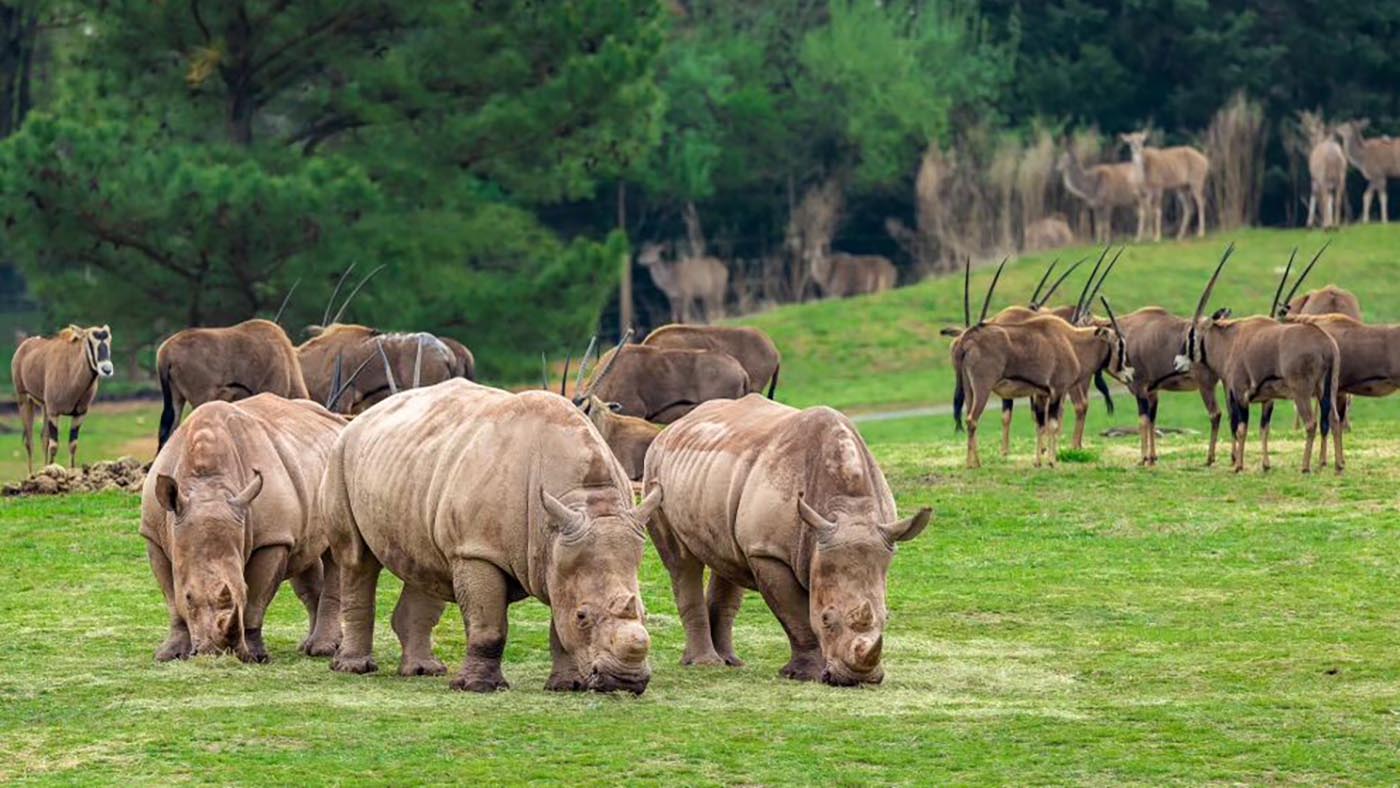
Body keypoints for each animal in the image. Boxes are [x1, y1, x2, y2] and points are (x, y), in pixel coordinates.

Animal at [1176, 244, 1338, 475]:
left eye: (1191, 334)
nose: (1178, 362)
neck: (1230, 342)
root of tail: (1326, 344)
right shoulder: (1265, 399)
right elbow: (1263, 429)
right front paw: (1265, 464)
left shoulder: (1240, 394)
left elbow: (1241, 428)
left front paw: (1238, 465)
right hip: (1327, 389)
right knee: (1332, 420)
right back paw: (1335, 464)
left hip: (1301, 391)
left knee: (1311, 424)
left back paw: (1306, 467)